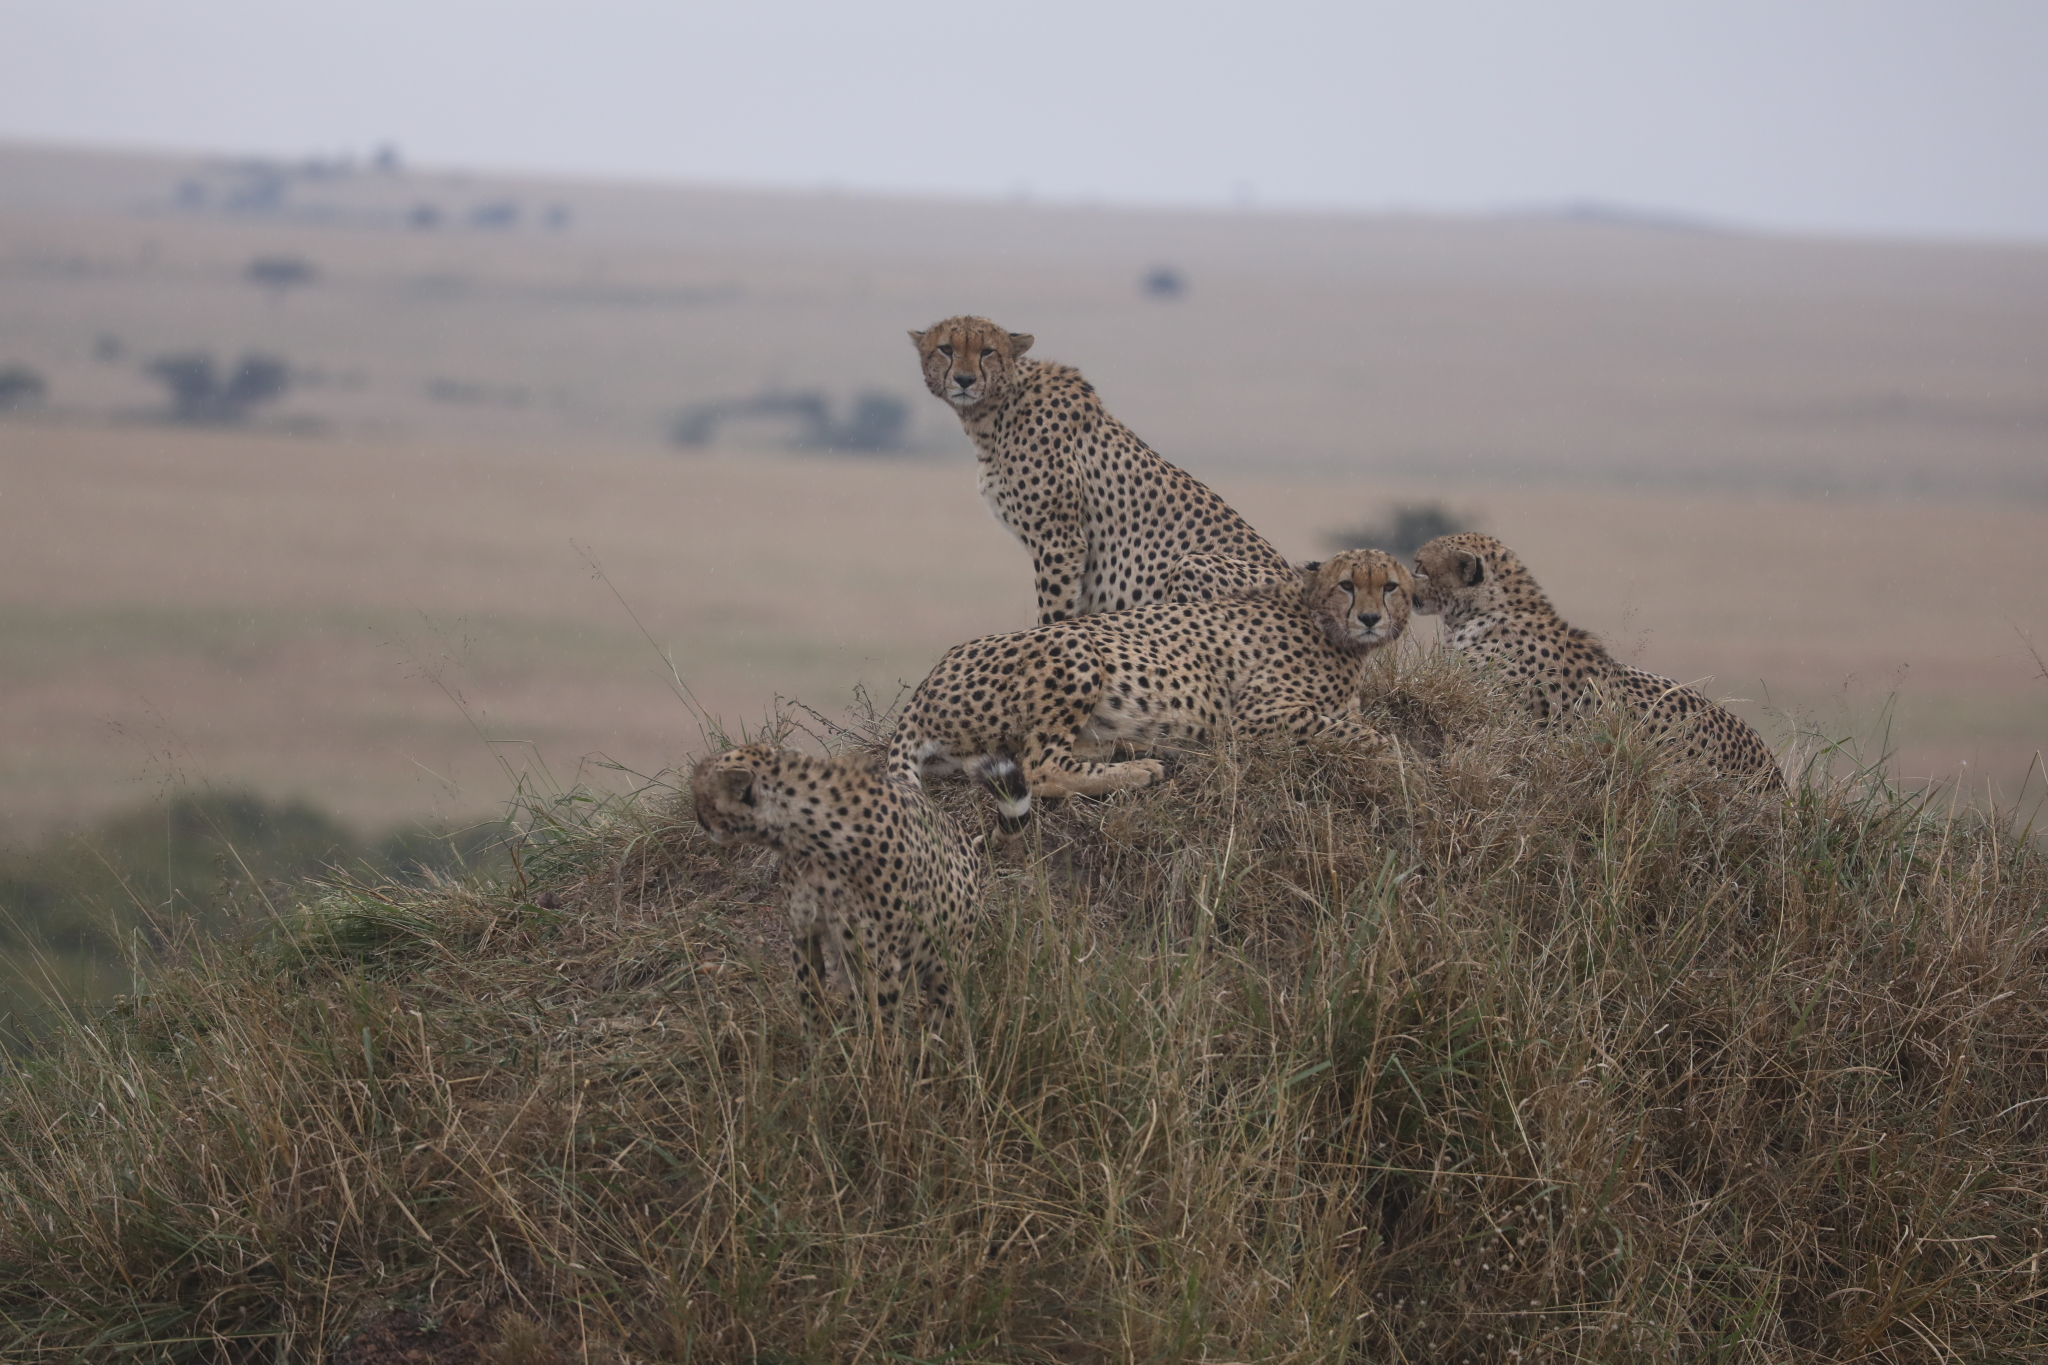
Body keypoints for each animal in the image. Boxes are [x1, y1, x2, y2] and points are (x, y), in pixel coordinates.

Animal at [692, 749, 987, 1023]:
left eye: (703, 792)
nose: (699, 818)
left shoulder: (880, 955)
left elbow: (884, 1018)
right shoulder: (803, 932)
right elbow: (810, 996)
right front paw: (817, 1041)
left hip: (945, 958)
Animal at [888, 548, 1417, 822]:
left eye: (1390, 587)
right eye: (1348, 585)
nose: (1370, 619)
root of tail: (928, 683)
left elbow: (1354, 722)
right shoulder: (1254, 717)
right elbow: (1364, 734)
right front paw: (1396, 758)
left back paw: (1123, 749)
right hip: (1075, 648)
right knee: (1040, 768)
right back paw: (1138, 770)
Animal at [909, 315, 1277, 626]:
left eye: (987, 351)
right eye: (946, 349)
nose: (965, 379)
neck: (993, 413)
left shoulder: (1060, 542)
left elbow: (1054, 611)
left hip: (1192, 564)